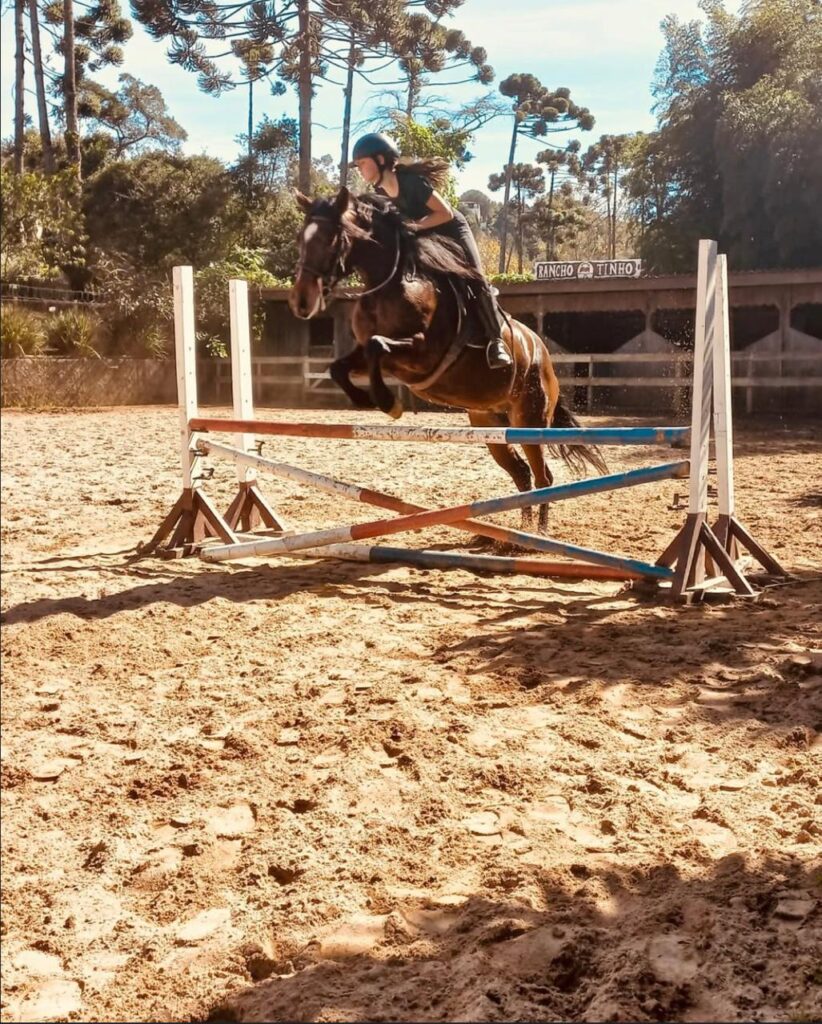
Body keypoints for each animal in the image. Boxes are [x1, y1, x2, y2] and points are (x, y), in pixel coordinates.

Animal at [288, 186, 607, 534]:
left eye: (331, 238)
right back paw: (515, 534)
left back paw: (538, 532)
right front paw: (364, 399)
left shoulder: (422, 353)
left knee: (543, 477)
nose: (301, 300)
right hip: (489, 424)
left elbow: (377, 347)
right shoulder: (368, 352)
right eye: (300, 238)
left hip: (529, 420)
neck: (389, 285)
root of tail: (544, 357)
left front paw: (388, 403)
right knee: (522, 474)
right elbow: (340, 366)